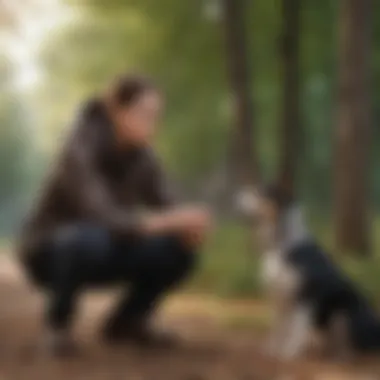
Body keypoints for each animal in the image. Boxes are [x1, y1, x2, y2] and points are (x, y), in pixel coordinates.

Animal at [236, 186, 380, 360]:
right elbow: (278, 327)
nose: (238, 193)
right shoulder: (278, 297)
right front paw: (273, 349)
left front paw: (288, 352)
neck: (281, 244)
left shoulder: (304, 296)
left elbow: (296, 327)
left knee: (357, 346)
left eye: (261, 192)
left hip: (347, 311)